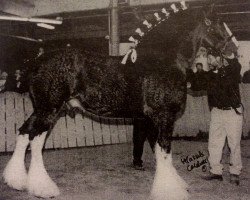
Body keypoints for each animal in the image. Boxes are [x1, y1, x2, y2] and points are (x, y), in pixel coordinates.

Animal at [2, 3, 235, 200]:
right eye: (214, 22)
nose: (233, 51)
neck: (163, 60)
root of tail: (35, 62)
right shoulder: (163, 117)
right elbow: (165, 150)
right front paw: (170, 191)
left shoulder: (150, 119)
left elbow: (160, 152)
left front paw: (174, 185)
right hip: (49, 109)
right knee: (35, 138)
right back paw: (43, 188)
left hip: (43, 109)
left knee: (25, 133)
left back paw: (17, 181)